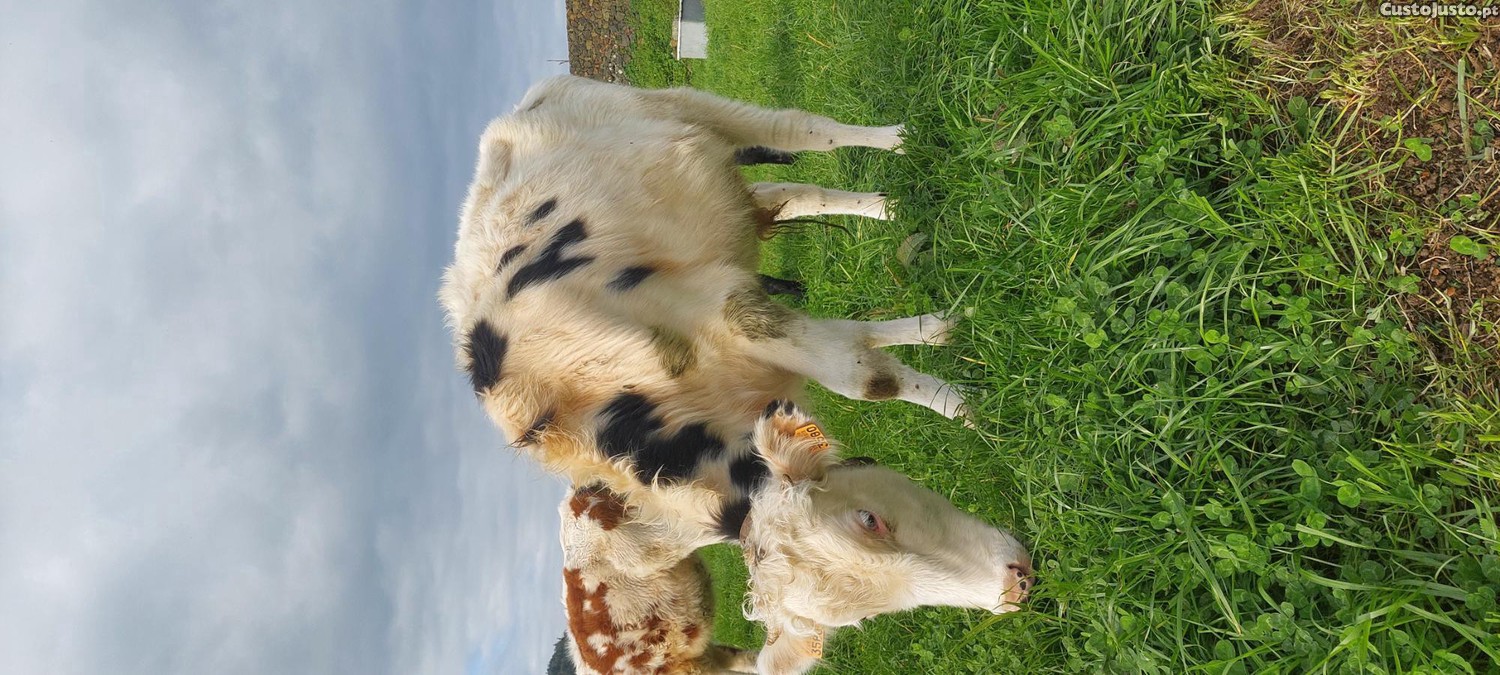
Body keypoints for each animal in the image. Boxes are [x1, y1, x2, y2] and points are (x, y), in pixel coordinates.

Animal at [440, 75, 1033, 674]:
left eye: (869, 520)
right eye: (863, 616)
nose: (1014, 587)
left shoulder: (730, 310)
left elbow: (864, 378)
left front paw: (974, 411)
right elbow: (864, 349)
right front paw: (941, 336)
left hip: (687, 107)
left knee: (802, 130)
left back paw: (898, 140)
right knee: (788, 190)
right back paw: (886, 206)